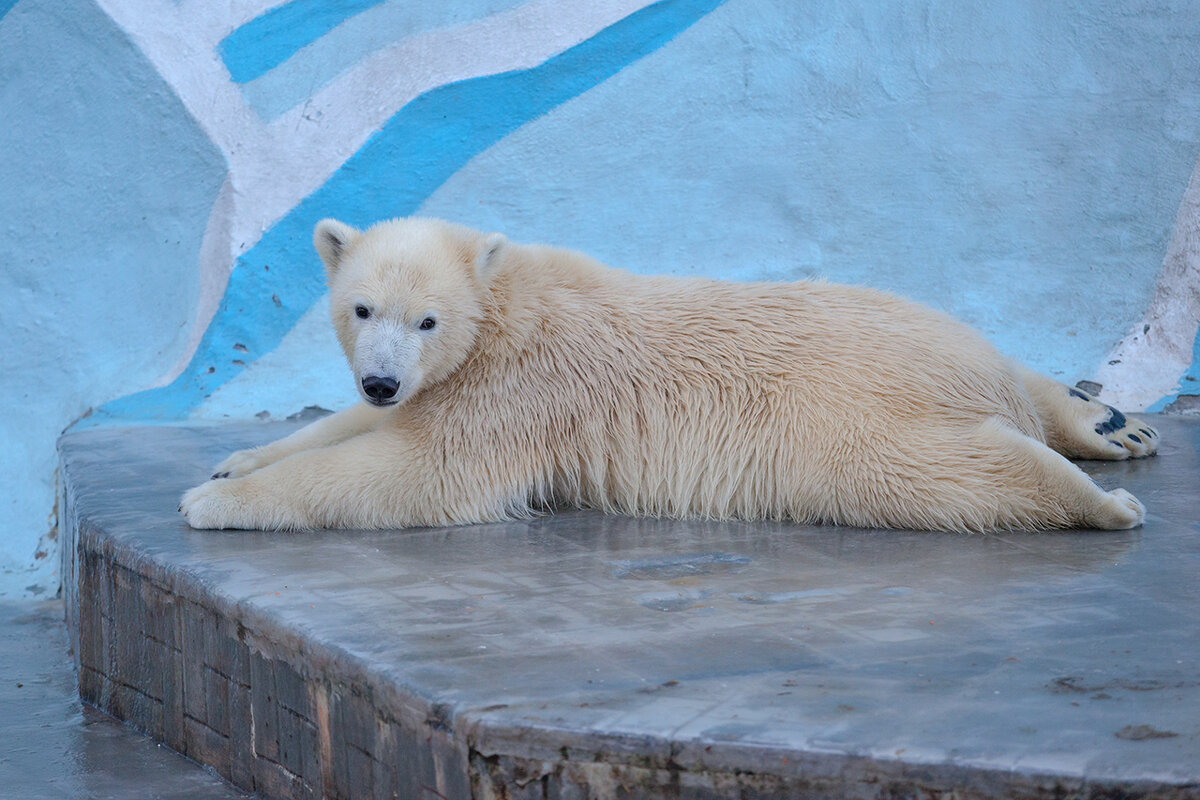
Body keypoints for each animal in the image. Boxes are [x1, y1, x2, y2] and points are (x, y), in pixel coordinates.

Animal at [175, 215, 1152, 534]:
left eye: (427, 319)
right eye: (360, 310)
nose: (380, 380)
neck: (507, 297)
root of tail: (968, 375)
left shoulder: (524, 387)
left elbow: (419, 471)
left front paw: (210, 500)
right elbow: (373, 429)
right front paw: (235, 460)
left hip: (846, 411)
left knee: (934, 474)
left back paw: (1102, 500)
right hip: (930, 338)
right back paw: (1112, 427)